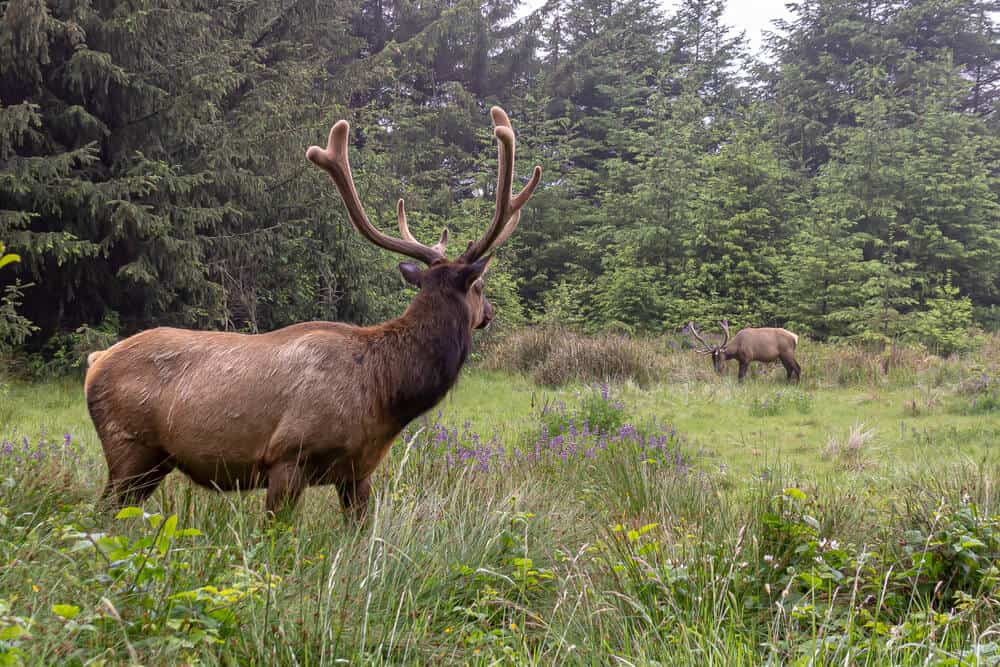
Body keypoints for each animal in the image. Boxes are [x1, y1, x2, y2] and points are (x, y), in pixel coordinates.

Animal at [83, 107, 544, 520]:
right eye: (480, 287)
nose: (490, 312)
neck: (384, 391)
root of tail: (95, 360)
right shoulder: (288, 456)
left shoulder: (358, 472)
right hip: (129, 447)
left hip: (153, 461)